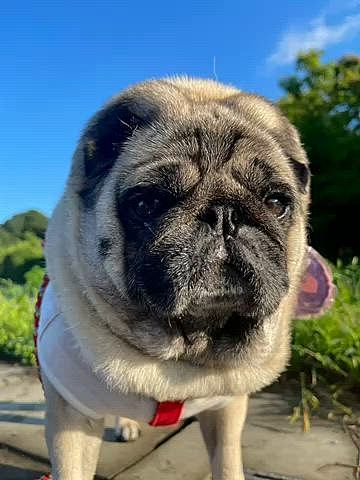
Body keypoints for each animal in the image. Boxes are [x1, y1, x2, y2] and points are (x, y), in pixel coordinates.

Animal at [37, 77, 334, 478]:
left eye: (276, 203)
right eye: (147, 204)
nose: (225, 215)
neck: (182, 351)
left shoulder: (227, 409)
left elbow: (227, 461)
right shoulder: (72, 420)